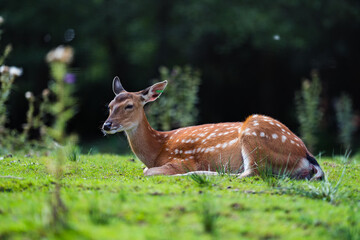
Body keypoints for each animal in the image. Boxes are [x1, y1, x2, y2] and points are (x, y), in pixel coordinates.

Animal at [101, 77, 324, 180]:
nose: (106, 125)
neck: (158, 148)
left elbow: (147, 171)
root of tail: (305, 154)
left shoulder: (181, 160)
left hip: (254, 135)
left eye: (129, 106)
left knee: (250, 173)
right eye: (109, 106)